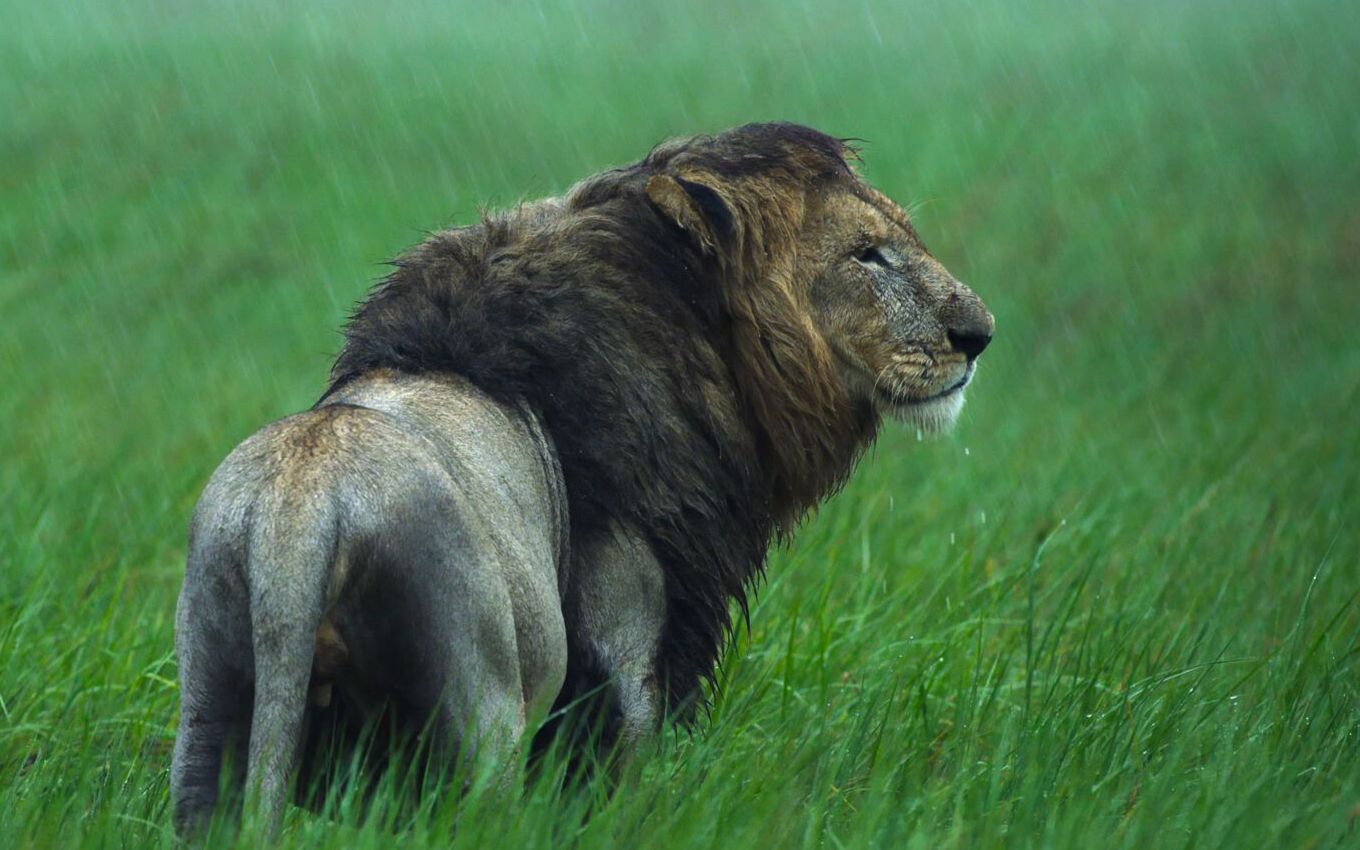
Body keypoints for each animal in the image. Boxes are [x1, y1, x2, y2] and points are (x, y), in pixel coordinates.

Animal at [172, 122, 1000, 832]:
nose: (980, 334)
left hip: (209, 706)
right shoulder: (628, 639)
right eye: (868, 254)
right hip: (481, 718)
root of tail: (300, 516)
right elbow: (616, 786)